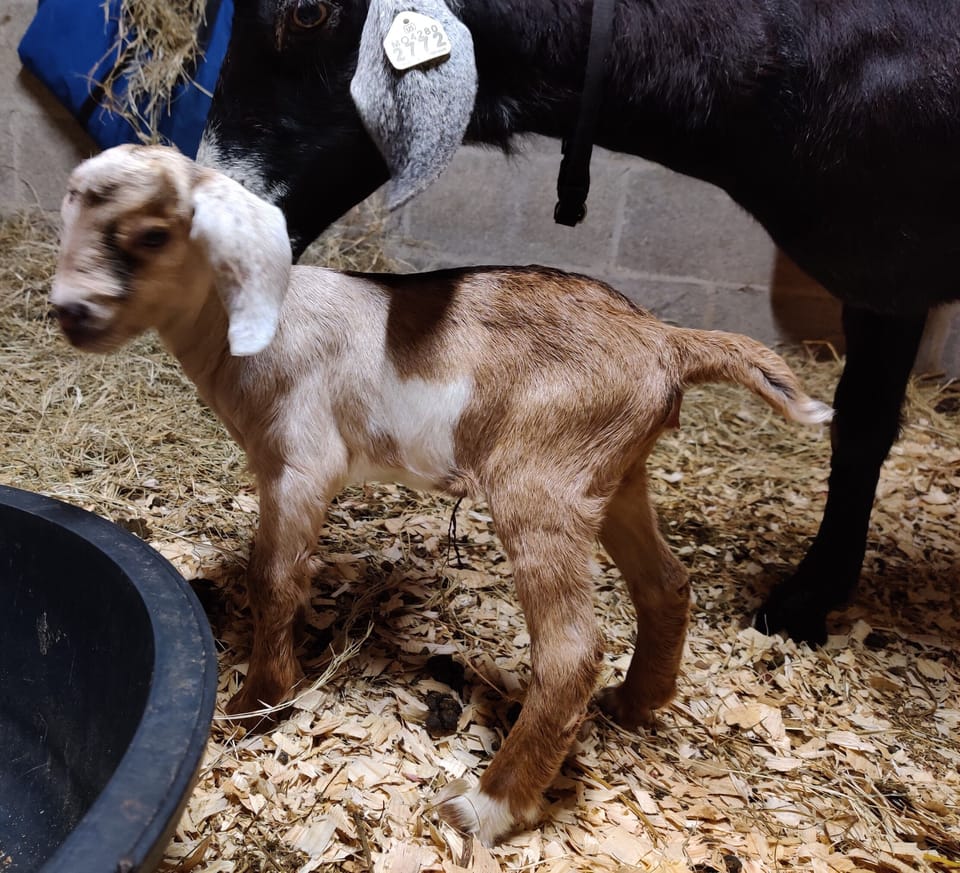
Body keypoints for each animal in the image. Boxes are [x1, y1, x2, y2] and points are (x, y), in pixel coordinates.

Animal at [50, 144, 830, 845]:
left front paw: (255, 703)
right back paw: (633, 705)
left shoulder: (300, 463)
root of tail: (664, 341)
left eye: (153, 234)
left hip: (538, 482)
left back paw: (486, 808)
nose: (70, 311)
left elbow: (273, 578)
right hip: (612, 477)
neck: (252, 321)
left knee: (571, 648)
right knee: (666, 583)